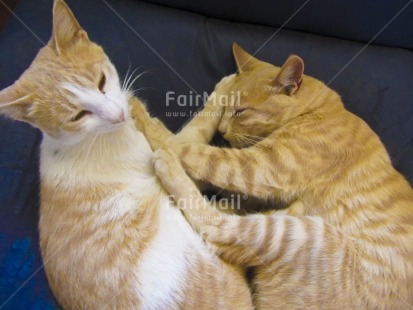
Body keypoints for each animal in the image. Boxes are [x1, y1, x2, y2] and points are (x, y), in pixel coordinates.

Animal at [0, 1, 254, 308]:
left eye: (101, 81)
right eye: (77, 116)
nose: (117, 115)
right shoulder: (174, 146)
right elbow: (198, 125)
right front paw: (225, 87)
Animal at [148, 44, 412, 310]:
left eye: (240, 111)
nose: (221, 131)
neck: (319, 110)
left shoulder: (259, 167)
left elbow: (195, 150)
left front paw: (157, 133)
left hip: (298, 233)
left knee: (216, 227)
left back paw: (168, 164)